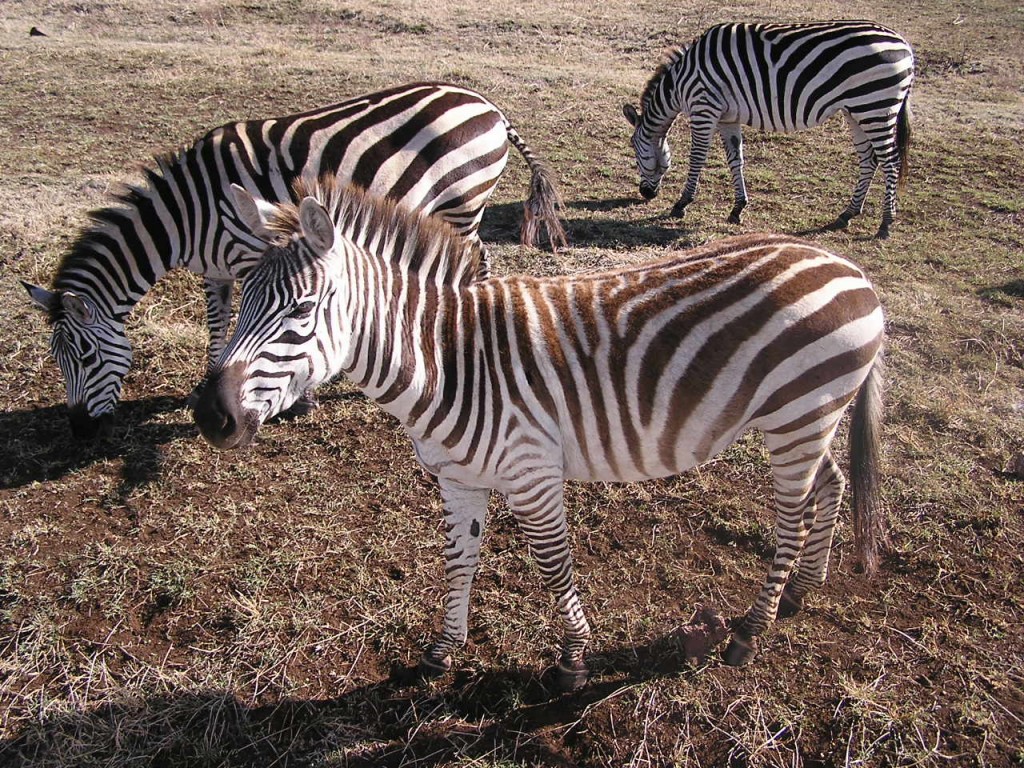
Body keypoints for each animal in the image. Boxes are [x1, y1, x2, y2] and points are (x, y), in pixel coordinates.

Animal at [19, 79, 565, 438]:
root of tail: (487, 105)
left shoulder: (253, 254)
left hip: (462, 200)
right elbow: (218, 326)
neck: (187, 213)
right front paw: (211, 381)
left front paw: (298, 400)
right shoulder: (215, 271)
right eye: (56, 359)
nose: (80, 433)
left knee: (473, 255)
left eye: (86, 357)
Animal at [193, 179, 888, 692]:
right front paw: (441, 653)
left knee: (795, 515)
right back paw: (800, 592)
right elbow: (459, 561)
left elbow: (555, 567)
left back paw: (750, 631)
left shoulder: (531, 474)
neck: (448, 360)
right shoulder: (458, 478)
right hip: (804, 417)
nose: (210, 416)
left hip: (798, 415)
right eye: (242, 298)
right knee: (830, 485)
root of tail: (849, 267)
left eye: (301, 311)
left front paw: (573, 663)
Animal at [618, 20, 917, 237]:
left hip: (874, 105)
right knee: (870, 160)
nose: (645, 194)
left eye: (635, 152)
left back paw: (886, 223)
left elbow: (697, 158)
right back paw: (848, 213)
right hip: (857, 111)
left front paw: (681, 204)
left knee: (891, 162)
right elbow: (735, 159)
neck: (680, 84)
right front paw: (738, 208)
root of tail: (904, 44)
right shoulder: (727, 118)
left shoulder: (704, 107)